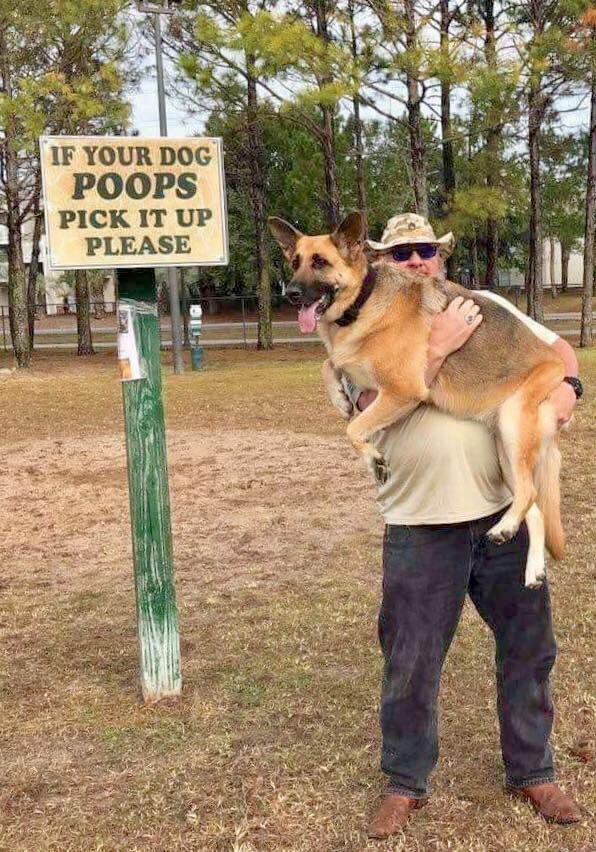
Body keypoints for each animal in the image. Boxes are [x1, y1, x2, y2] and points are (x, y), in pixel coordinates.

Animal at [268, 210, 564, 588]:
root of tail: (557, 363)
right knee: (535, 509)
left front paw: (373, 460)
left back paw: (505, 527)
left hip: (513, 425)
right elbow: (329, 364)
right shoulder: (364, 376)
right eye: (295, 262)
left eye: (320, 262)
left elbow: (353, 429)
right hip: (506, 452)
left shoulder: (402, 390)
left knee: (528, 496)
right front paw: (339, 398)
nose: (291, 293)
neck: (362, 303)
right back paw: (531, 566)